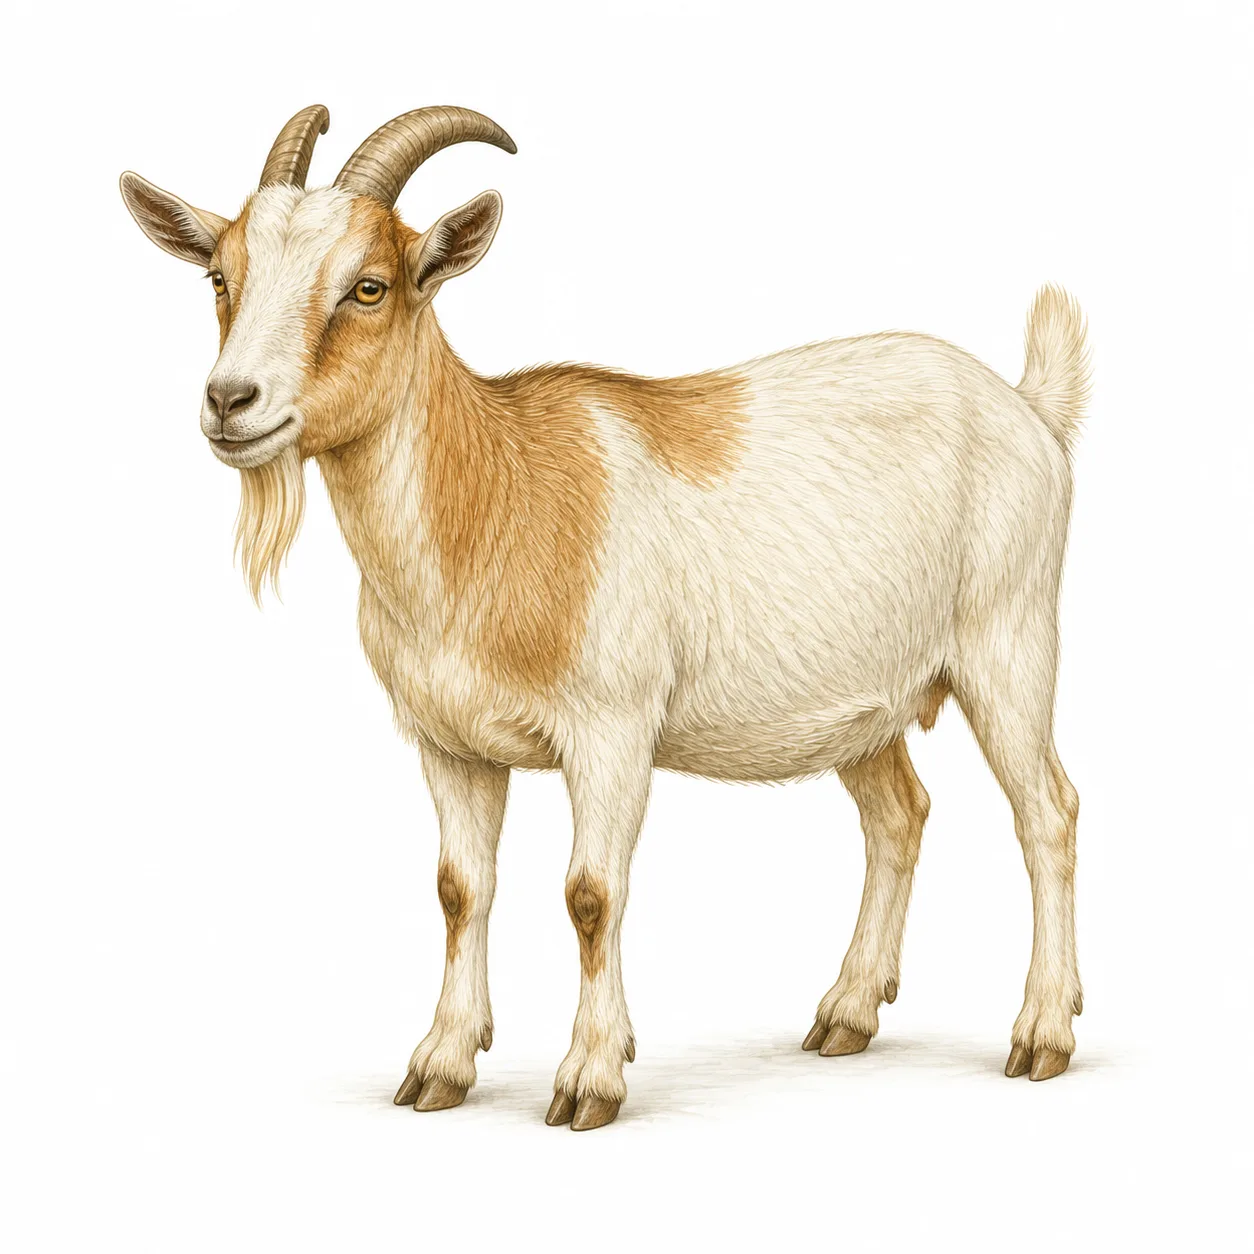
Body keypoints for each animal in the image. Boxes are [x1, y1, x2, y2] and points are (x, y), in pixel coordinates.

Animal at [122, 104, 1089, 1131]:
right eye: (220, 278)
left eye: (368, 285)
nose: (230, 401)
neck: (498, 493)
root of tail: (1028, 407)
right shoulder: (449, 743)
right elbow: (459, 890)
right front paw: (440, 1067)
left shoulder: (612, 731)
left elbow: (591, 894)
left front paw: (589, 1079)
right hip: (864, 703)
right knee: (899, 816)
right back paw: (847, 1014)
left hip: (1009, 644)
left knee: (1047, 812)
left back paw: (1042, 1035)